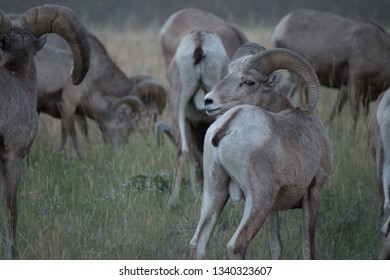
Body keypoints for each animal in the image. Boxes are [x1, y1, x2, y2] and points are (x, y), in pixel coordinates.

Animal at [189, 43, 332, 260]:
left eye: (249, 82)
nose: (208, 101)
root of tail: (227, 126)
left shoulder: (274, 209)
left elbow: (276, 246)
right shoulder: (312, 193)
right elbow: (308, 249)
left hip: (215, 192)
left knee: (197, 244)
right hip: (259, 200)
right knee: (236, 245)